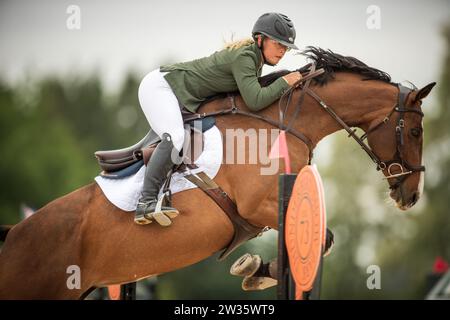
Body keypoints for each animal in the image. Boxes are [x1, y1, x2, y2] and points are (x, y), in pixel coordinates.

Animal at [0, 47, 436, 298]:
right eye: (416, 131)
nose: (411, 195)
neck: (283, 121)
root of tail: (15, 236)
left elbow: (320, 240)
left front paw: (255, 271)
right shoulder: (259, 206)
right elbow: (324, 237)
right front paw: (254, 270)